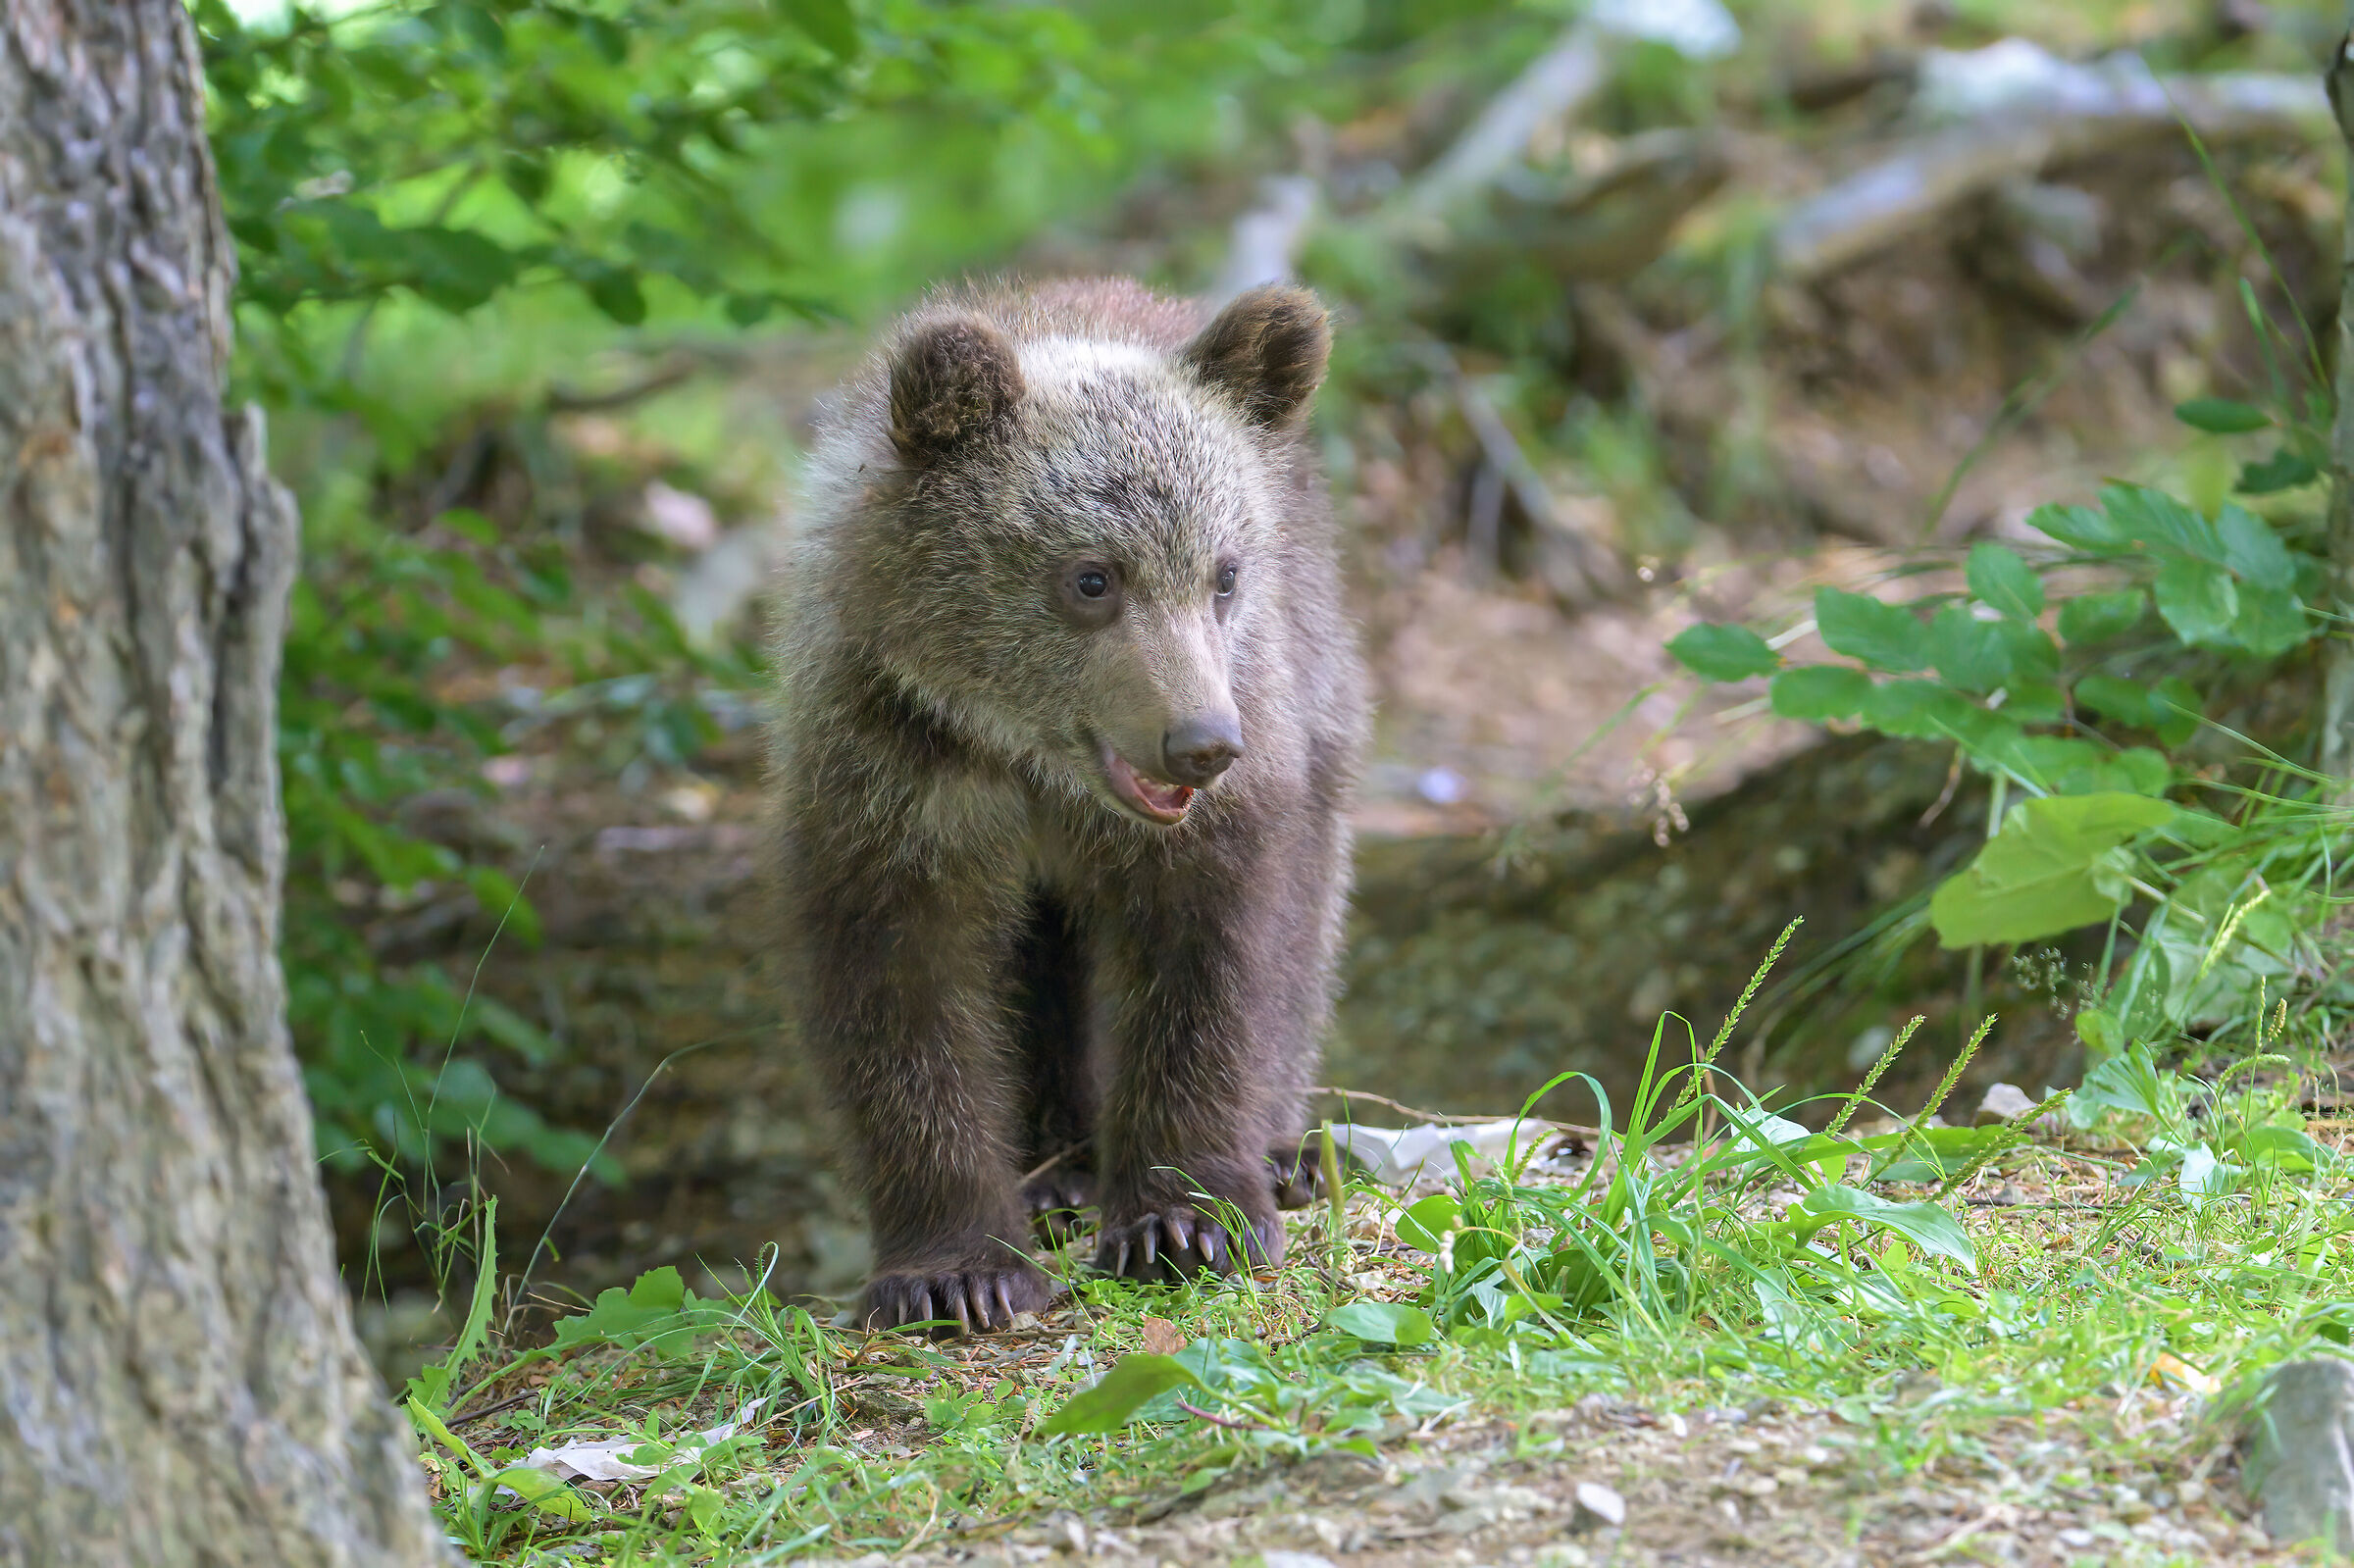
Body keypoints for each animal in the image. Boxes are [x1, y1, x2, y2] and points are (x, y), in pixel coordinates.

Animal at [768, 277, 1367, 1333]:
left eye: (1223, 572)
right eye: (1091, 576)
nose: (1200, 741)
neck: (1030, 758)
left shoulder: (1232, 778)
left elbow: (1213, 960)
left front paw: (1186, 1220)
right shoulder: (888, 774)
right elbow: (899, 992)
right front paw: (953, 1270)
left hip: (1319, 692)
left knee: (1308, 920)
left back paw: (1283, 1151)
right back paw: (1055, 1172)